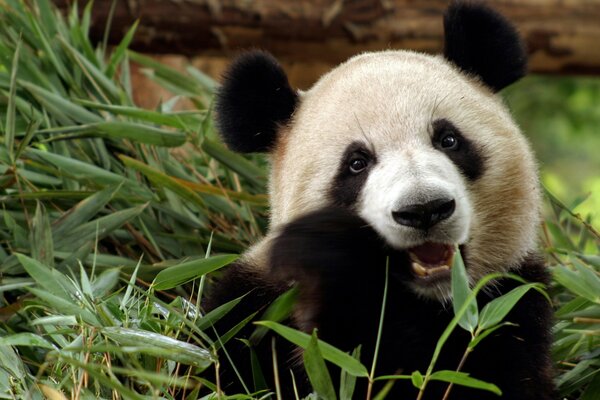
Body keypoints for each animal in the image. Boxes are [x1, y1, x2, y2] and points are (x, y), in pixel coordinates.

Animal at [205, 1, 552, 398]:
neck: (429, 302)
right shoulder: (252, 309)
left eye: (448, 140)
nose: (424, 209)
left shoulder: (512, 304)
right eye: (357, 163)